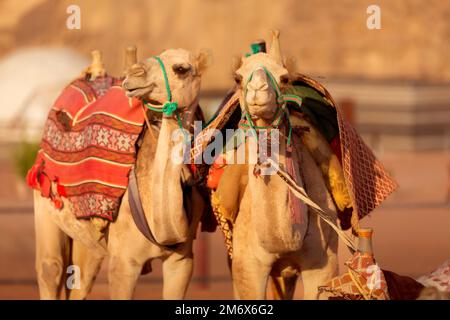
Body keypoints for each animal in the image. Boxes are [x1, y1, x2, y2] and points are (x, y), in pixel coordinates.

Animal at [33, 48, 211, 300]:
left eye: (181, 68)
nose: (134, 74)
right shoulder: (124, 262)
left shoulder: (182, 260)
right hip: (44, 201)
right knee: (51, 268)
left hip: (89, 243)